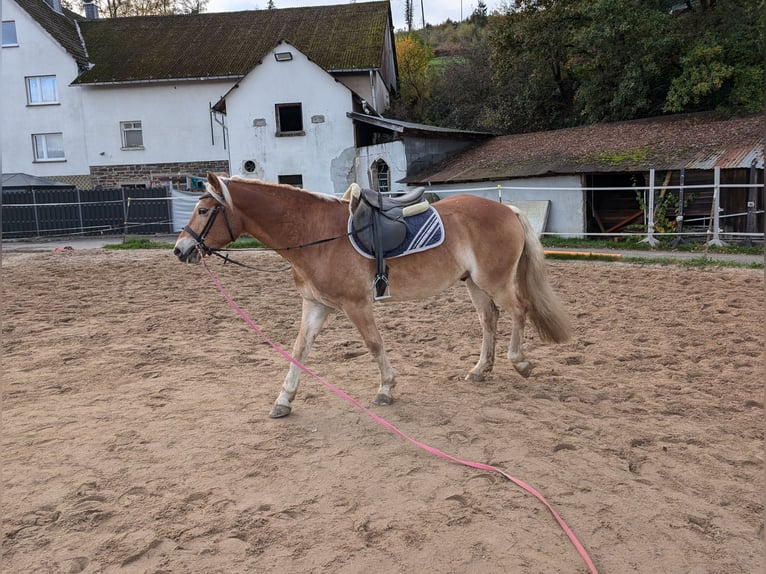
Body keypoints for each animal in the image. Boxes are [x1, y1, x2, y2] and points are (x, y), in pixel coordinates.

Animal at [174, 173, 568, 420]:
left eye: (204, 210)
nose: (180, 250)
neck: (315, 233)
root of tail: (507, 209)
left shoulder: (356, 305)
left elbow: (375, 345)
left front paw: (386, 389)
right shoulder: (316, 305)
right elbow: (299, 350)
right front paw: (284, 399)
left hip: (494, 280)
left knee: (519, 310)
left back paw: (520, 362)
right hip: (474, 282)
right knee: (490, 318)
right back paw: (480, 370)